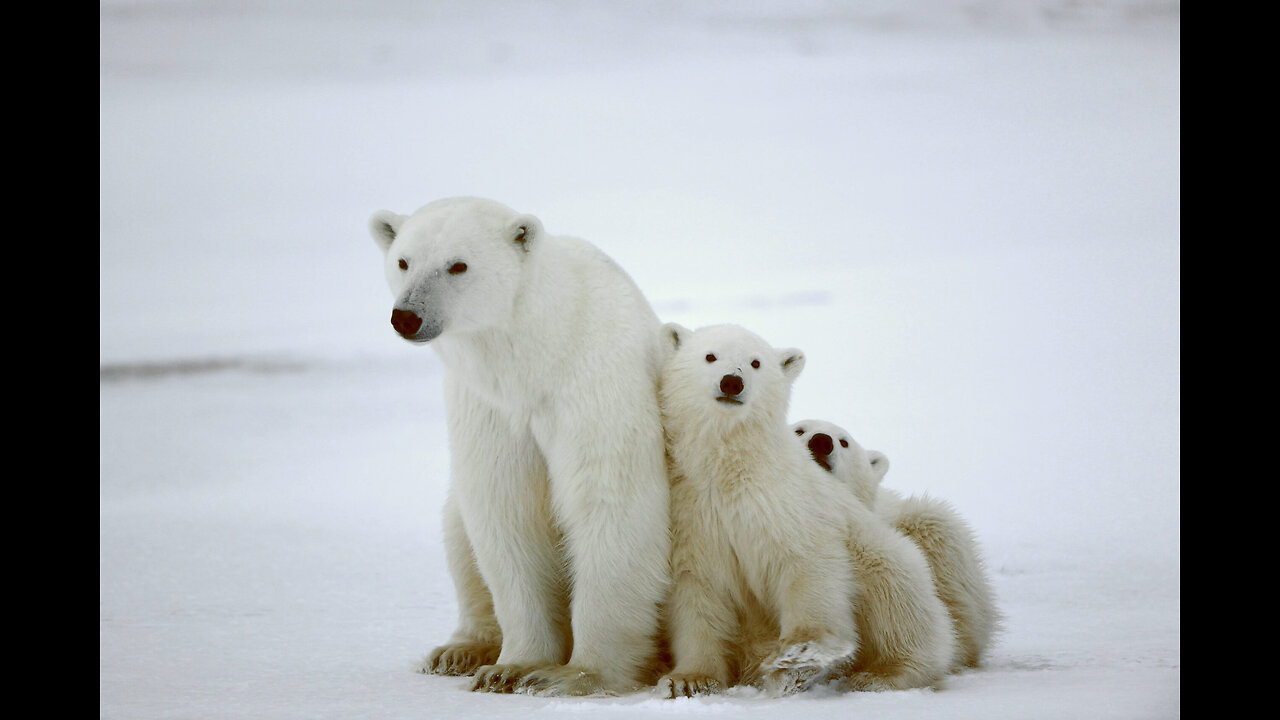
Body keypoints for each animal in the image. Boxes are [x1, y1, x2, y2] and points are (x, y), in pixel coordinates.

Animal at [368, 197, 670, 696]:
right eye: (403, 261)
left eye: (458, 265)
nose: (407, 316)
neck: (536, 354)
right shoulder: (489, 407)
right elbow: (506, 510)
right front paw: (511, 668)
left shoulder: (594, 384)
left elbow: (610, 501)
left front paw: (574, 675)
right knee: (458, 531)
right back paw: (460, 650)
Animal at [660, 324, 952, 696]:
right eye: (710, 356)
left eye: (755, 362)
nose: (732, 382)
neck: (731, 468)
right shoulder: (694, 513)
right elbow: (698, 591)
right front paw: (689, 680)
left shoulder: (788, 501)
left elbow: (807, 564)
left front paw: (798, 659)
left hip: (883, 555)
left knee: (896, 599)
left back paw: (882, 674)